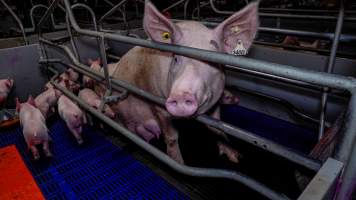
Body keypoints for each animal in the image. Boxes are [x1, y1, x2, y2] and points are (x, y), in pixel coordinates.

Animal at [108, 1, 258, 164]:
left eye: (212, 62)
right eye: (175, 58)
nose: (181, 95)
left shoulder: (215, 102)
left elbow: (217, 128)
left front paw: (236, 158)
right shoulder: (158, 103)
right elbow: (171, 137)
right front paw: (177, 163)